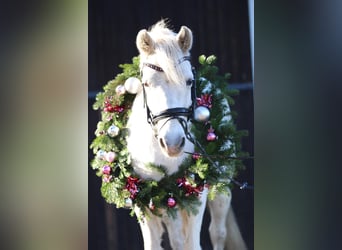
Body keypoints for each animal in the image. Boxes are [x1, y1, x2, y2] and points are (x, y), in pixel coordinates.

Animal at [125, 21, 246, 250]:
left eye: (190, 81)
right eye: (146, 84)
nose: (172, 143)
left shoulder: (197, 194)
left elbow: (193, 243)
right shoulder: (142, 200)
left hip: (220, 187)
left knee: (217, 232)